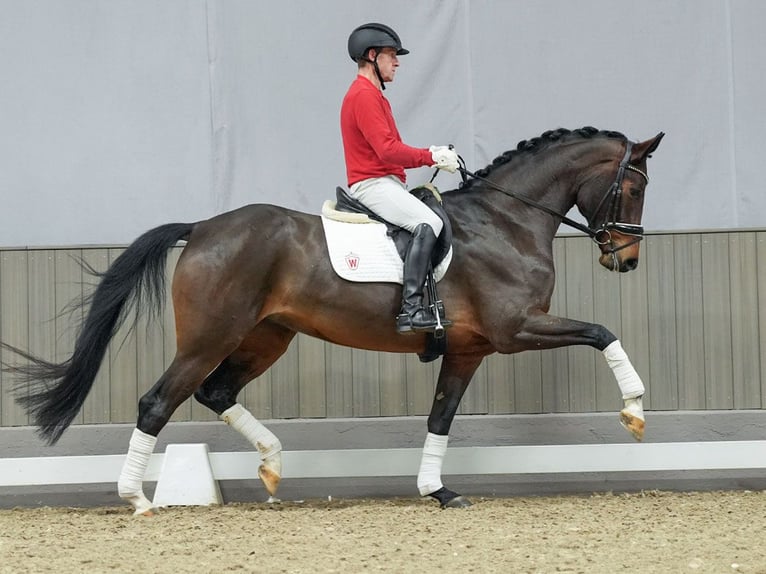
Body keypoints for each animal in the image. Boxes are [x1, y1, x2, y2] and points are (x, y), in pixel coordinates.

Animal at [3, 127, 664, 516]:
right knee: (158, 401)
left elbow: (441, 418)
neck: (506, 221)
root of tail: (204, 227)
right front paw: (634, 410)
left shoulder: (470, 348)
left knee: (216, 391)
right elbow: (603, 333)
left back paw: (272, 465)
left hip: (267, 337)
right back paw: (137, 498)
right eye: (633, 187)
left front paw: (437, 491)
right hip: (209, 337)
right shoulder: (517, 328)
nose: (627, 259)